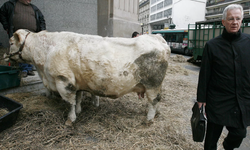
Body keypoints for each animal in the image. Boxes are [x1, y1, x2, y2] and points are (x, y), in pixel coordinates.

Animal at [4, 29, 170, 125]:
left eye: (11, 43)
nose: (6, 56)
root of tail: (157, 38)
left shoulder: (63, 80)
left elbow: (69, 102)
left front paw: (70, 120)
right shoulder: (76, 82)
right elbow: (77, 98)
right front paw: (78, 111)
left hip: (152, 84)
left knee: (154, 100)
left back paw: (149, 119)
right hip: (156, 85)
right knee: (157, 99)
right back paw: (156, 114)